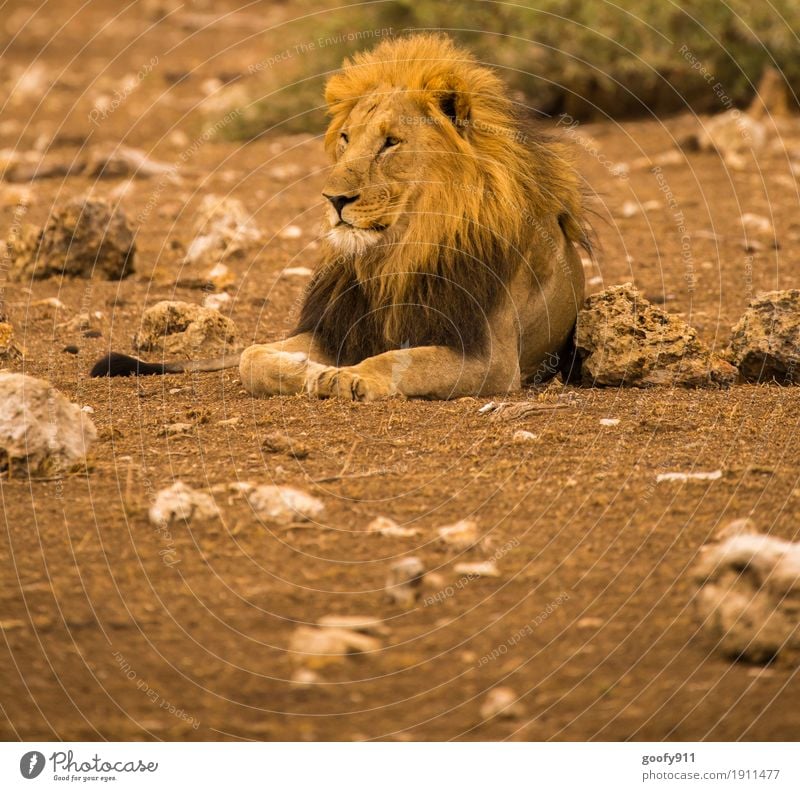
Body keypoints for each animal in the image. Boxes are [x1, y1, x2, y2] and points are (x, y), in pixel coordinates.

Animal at [95, 33, 592, 400]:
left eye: (391, 142)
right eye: (347, 138)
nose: (333, 199)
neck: (399, 253)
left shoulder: (491, 359)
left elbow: (400, 359)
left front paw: (353, 377)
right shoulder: (337, 328)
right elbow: (251, 356)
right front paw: (308, 371)